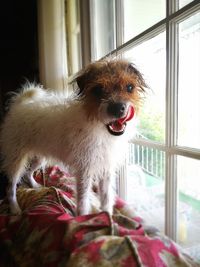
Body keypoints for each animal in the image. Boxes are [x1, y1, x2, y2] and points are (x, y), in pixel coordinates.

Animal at [0, 58, 147, 216]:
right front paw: (83, 218)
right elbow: (83, 201)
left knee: (28, 172)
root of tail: (19, 105)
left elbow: (106, 198)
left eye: (130, 87)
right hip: (16, 160)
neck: (100, 129)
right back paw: (14, 208)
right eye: (97, 90)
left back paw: (35, 186)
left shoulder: (106, 169)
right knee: (10, 187)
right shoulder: (84, 171)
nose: (118, 108)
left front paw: (107, 216)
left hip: (41, 157)